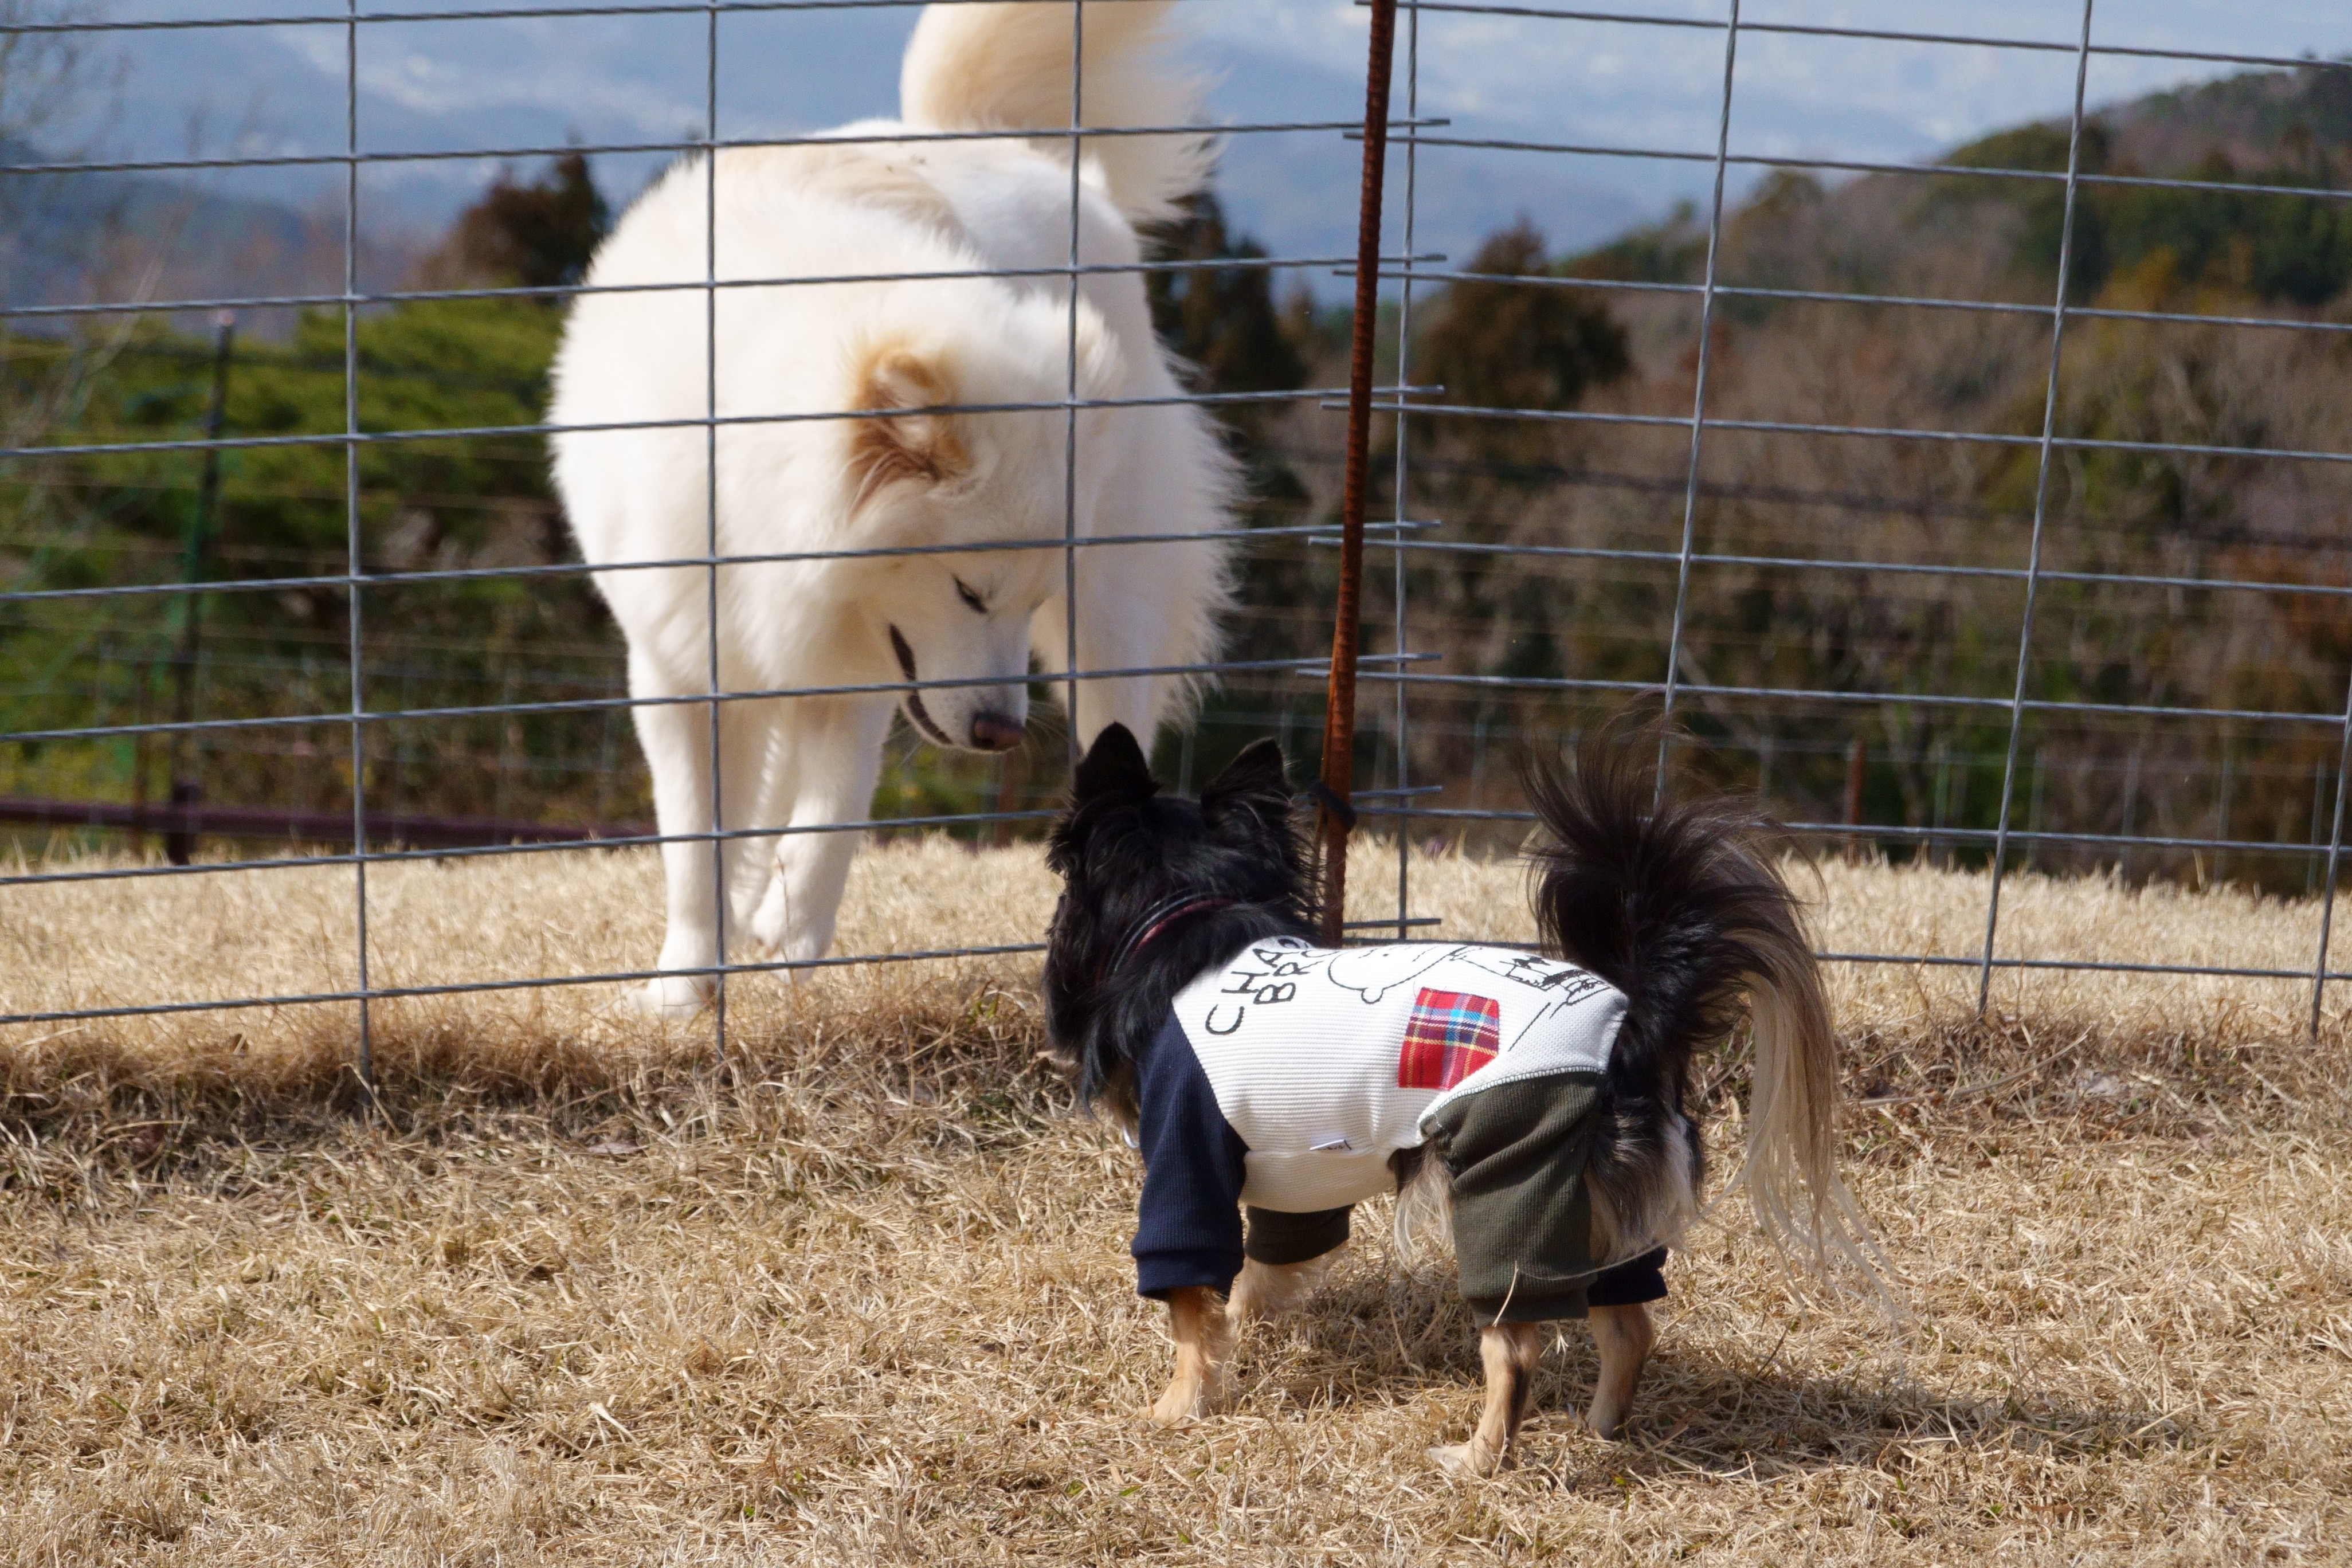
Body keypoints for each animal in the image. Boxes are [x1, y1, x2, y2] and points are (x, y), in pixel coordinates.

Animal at [548, 3, 1241, 1020]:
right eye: (969, 591)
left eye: (1027, 601)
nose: (1000, 734)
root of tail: (997, 140)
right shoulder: (684, 666)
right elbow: (697, 844)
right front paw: (688, 989)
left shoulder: (866, 671)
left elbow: (830, 827)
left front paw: (794, 965)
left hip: (1111, 614)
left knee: (1120, 731)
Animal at [1049, 719, 1872, 1476]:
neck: (1189, 910)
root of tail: (1629, 1024)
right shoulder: (1294, 1176)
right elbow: (1264, 1269)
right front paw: (1249, 1330)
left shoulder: (1187, 1155)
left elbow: (1191, 1300)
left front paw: (1178, 1407)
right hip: (1600, 1219)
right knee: (1631, 1327)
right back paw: (1600, 1433)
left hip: (1513, 1186)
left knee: (1516, 1348)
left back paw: (1478, 1459)